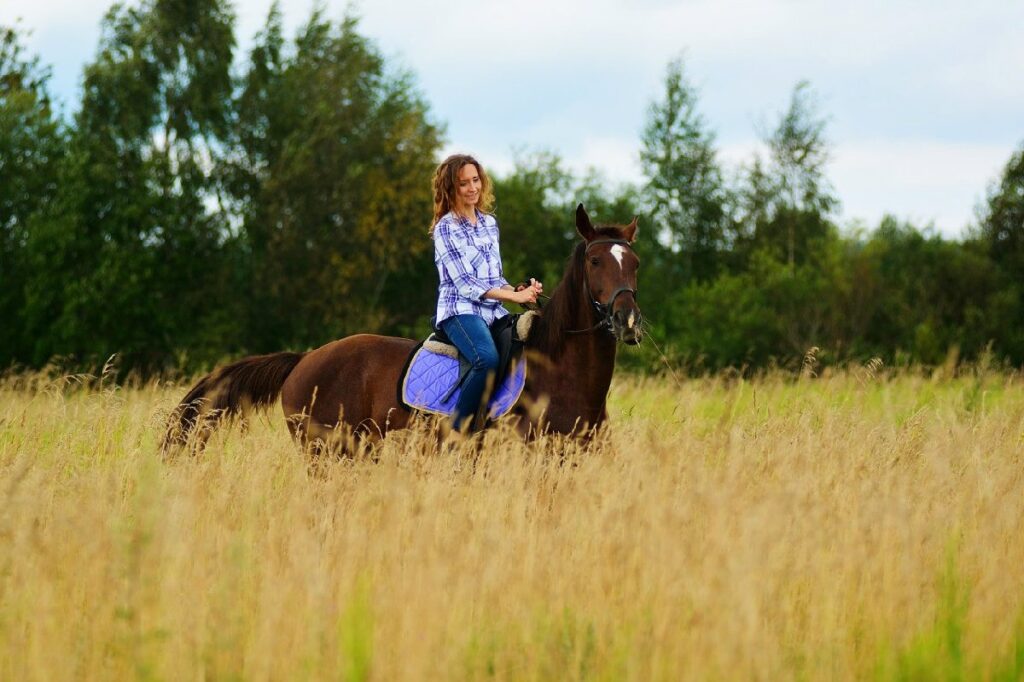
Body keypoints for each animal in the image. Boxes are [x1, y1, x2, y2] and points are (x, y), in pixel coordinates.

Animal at [162, 204, 642, 453]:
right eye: (594, 261)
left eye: (635, 262)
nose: (628, 321)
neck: (561, 376)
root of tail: (304, 360)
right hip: (325, 454)